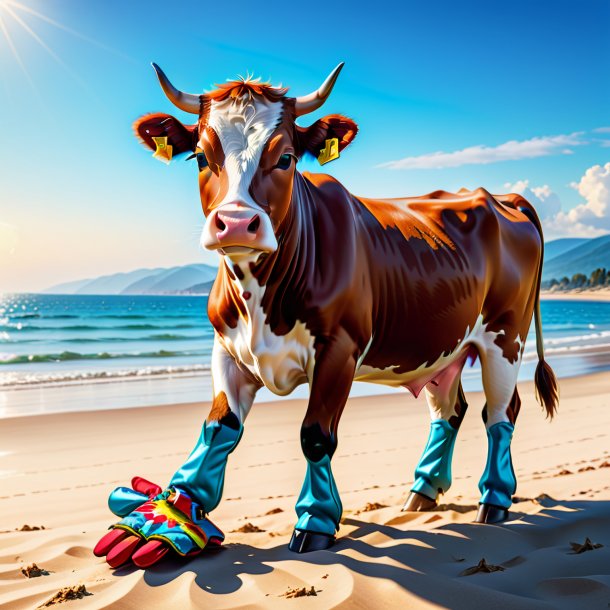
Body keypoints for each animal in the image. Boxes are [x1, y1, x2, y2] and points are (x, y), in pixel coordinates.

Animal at [94, 61, 556, 564]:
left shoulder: (340, 349)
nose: (235, 223)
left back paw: (495, 498)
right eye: (199, 156)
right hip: (443, 344)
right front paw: (177, 511)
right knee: (451, 410)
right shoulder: (228, 349)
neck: (261, 298)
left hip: (504, 336)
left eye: (286, 158)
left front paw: (315, 520)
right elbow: (219, 426)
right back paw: (422, 490)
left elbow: (315, 433)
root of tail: (499, 197)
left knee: (501, 412)